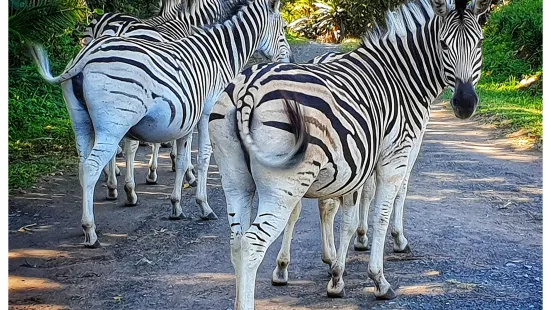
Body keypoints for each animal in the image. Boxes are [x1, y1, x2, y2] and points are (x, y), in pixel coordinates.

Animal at [29, 0, 294, 248]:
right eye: (282, 29)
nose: (291, 60)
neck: (220, 52)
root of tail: (86, 56)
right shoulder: (208, 112)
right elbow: (203, 157)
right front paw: (204, 205)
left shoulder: (188, 115)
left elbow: (184, 158)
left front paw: (177, 205)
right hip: (114, 122)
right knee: (94, 165)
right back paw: (91, 230)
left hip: (81, 122)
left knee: (84, 166)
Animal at [210, 0, 492, 308]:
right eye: (443, 44)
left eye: (479, 43)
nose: (465, 104)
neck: (401, 78)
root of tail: (248, 89)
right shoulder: (398, 154)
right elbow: (384, 210)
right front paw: (380, 277)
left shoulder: (358, 161)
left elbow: (346, 215)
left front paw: (337, 274)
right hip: (284, 183)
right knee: (252, 245)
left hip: (235, 178)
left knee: (237, 242)